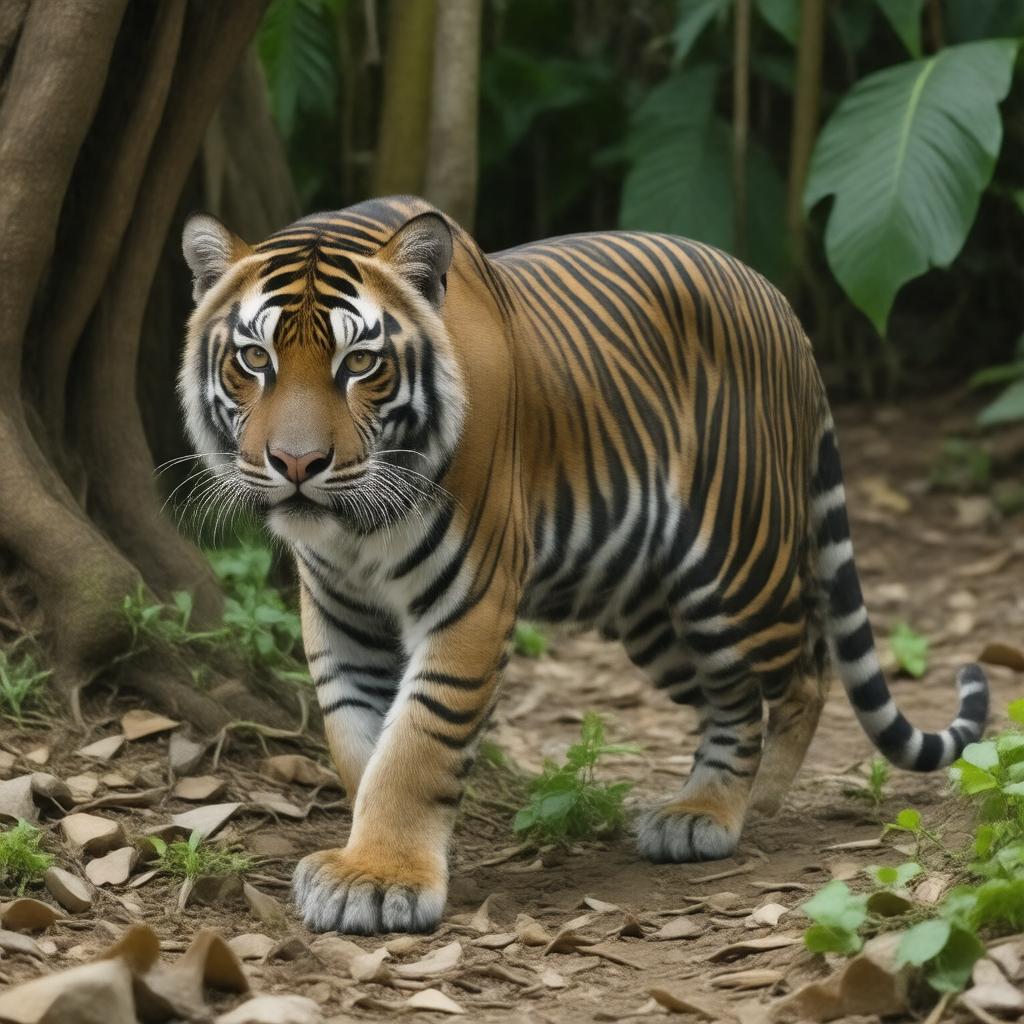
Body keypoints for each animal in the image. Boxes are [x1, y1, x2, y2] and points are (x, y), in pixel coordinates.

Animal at [179, 195, 989, 936]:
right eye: (255, 359)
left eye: (360, 364)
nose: (296, 464)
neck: (355, 530)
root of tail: (781, 304)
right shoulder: (338, 611)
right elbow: (357, 740)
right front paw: (366, 856)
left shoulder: (471, 603)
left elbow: (416, 743)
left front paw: (380, 880)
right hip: (653, 613)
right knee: (730, 696)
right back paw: (701, 804)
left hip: (732, 572)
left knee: (803, 672)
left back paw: (740, 806)